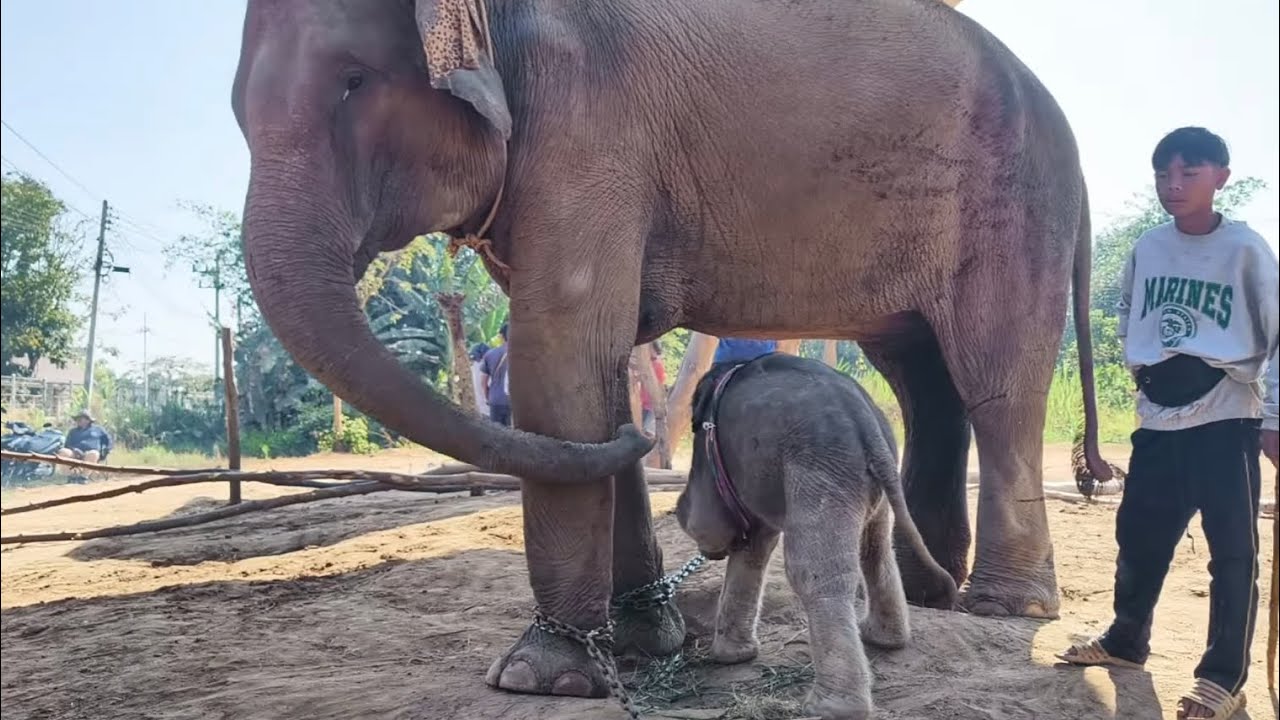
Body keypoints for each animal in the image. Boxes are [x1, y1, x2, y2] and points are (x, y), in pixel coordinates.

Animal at [675, 353, 959, 720]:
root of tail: (867, 423)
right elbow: (758, 543)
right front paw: (735, 656)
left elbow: (750, 537)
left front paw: (729, 658)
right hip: (860, 475)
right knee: (876, 550)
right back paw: (883, 639)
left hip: (819, 470)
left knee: (814, 573)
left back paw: (830, 707)